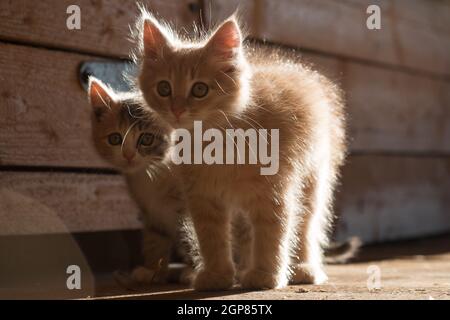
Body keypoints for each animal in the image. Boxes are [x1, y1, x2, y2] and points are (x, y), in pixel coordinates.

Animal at [135, 13, 346, 292]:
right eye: (164, 88)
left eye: (199, 89)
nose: (177, 110)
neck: (216, 143)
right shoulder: (203, 198)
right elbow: (211, 239)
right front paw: (218, 275)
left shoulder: (272, 193)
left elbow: (272, 234)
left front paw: (265, 275)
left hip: (312, 180)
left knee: (306, 226)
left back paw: (303, 268)